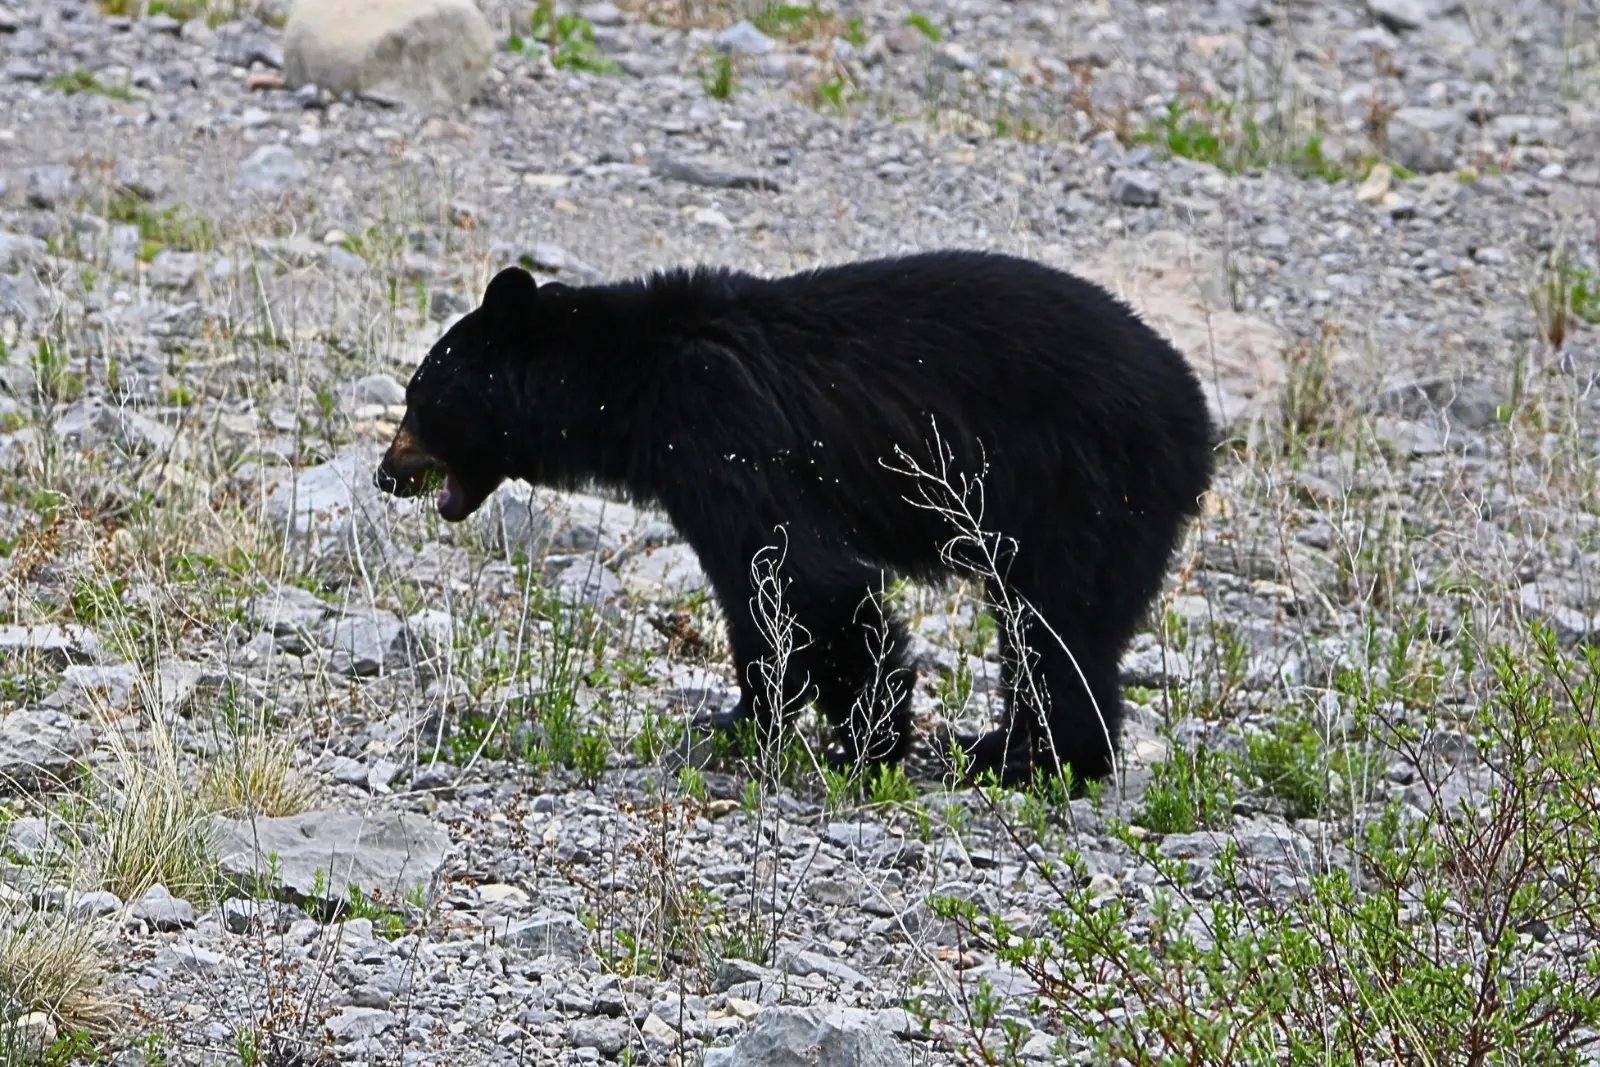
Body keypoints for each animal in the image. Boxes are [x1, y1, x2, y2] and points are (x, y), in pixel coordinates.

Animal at [375, 251, 1214, 786]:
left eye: (421, 395)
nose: (386, 473)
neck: (629, 379)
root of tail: (1197, 419)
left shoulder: (720, 423)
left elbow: (810, 577)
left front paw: (865, 744)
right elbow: (758, 596)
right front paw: (741, 719)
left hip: (1086, 489)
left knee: (1054, 624)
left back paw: (1028, 757)